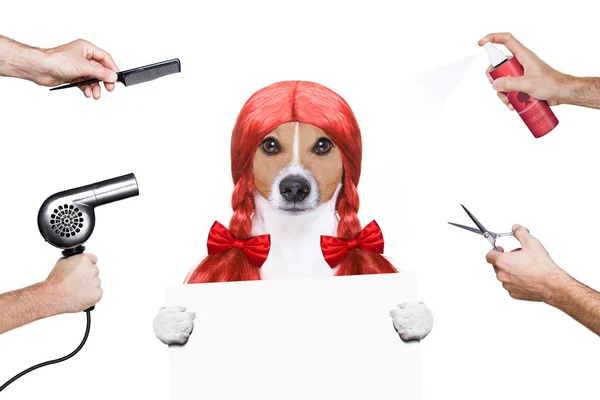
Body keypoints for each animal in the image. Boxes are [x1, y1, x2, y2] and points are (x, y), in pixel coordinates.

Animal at [152, 80, 434, 344]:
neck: (295, 239)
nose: (295, 188)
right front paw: (170, 323)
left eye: (323, 145)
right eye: (270, 145)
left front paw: (415, 318)